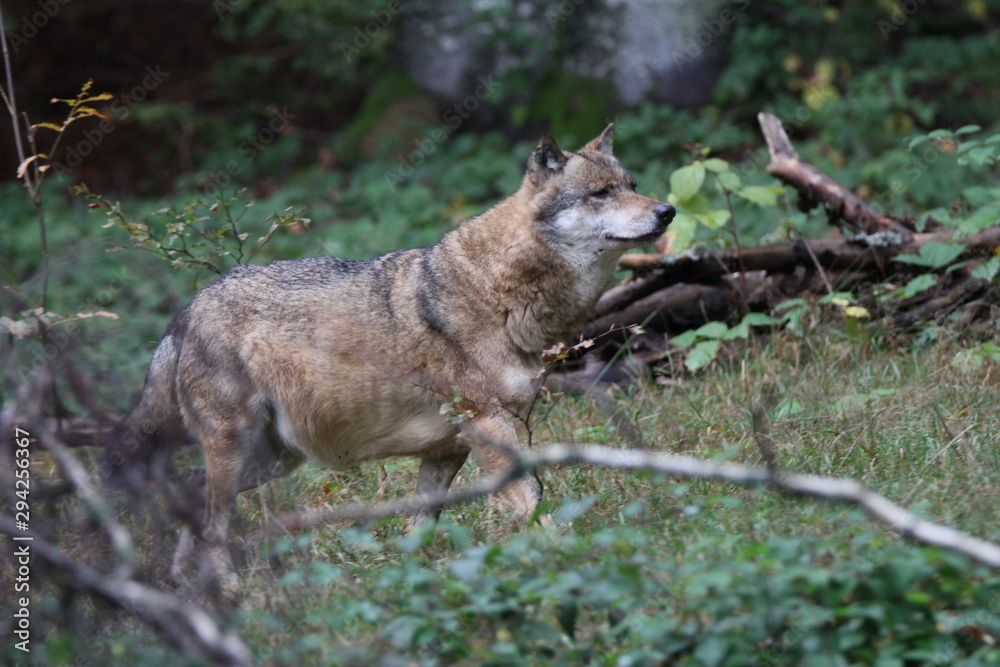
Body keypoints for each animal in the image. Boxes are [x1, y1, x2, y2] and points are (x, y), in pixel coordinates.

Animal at [111, 124, 674, 589]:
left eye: (633, 183)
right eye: (602, 193)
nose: (666, 211)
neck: (503, 294)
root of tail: (186, 310)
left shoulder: (448, 450)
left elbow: (420, 528)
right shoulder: (488, 428)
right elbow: (533, 502)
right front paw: (572, 559)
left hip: (273, 460)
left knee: (192, 496)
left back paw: (188, 587)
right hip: (241, 452)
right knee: (212, 521)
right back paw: (231, 593)